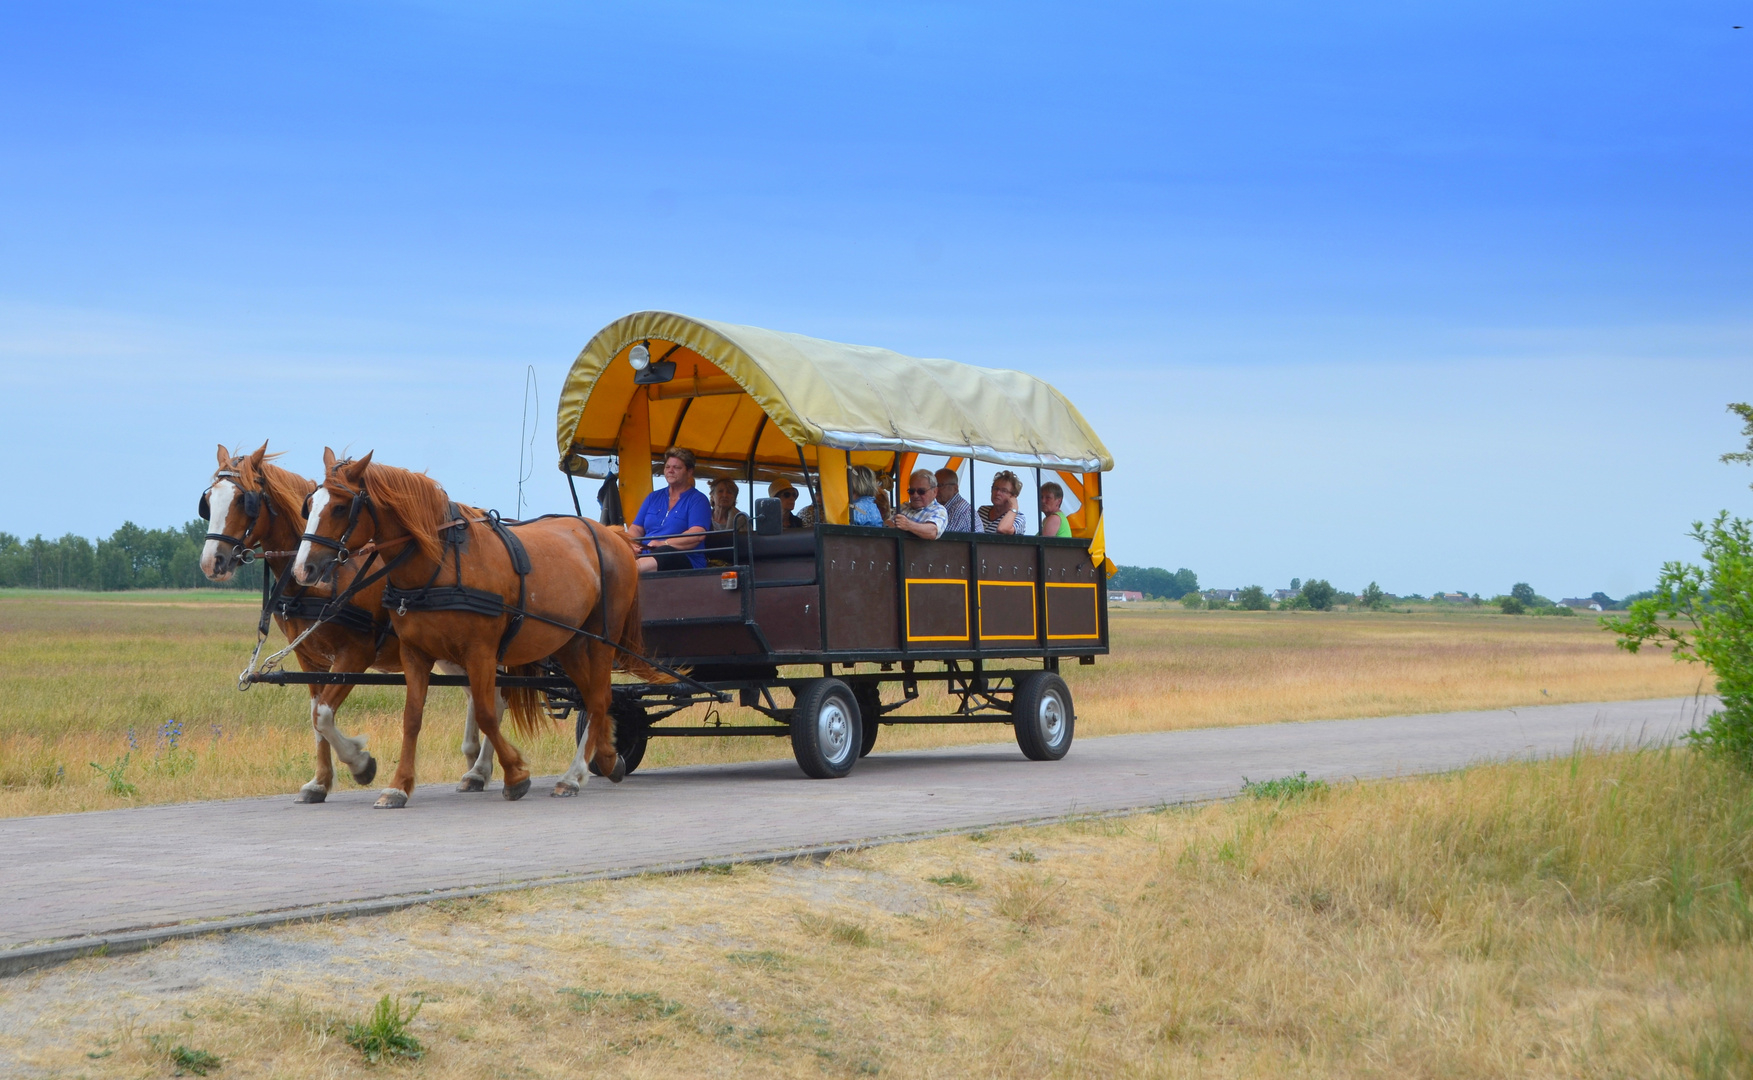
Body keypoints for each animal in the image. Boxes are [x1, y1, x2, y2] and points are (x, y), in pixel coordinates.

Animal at [204, 440, 508, 802]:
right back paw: (476, 766)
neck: (327, 577)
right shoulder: (309, 659)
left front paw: (361, 763)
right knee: (478, 697)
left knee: (497, 700)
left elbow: (323, 715)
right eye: (208, 500)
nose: (211, 562)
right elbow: (315, 717)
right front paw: (319, 782)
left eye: (243, 500)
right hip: (453, 653)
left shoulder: (355, 655)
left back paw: (480, 769)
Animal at [294, 443, 652, 806]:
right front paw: (398, 785)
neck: (442, 564)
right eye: (311, 505)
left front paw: (515, 775)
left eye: (340, 507)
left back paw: (575, 775)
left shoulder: (479, 652)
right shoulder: (415, 653)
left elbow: (486, 712)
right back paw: (606, 759)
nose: (303, 569)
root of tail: (612, 535)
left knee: (598, 700)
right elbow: (412, 718)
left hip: (601, 640)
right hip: (570, 643)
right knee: (596, 698)